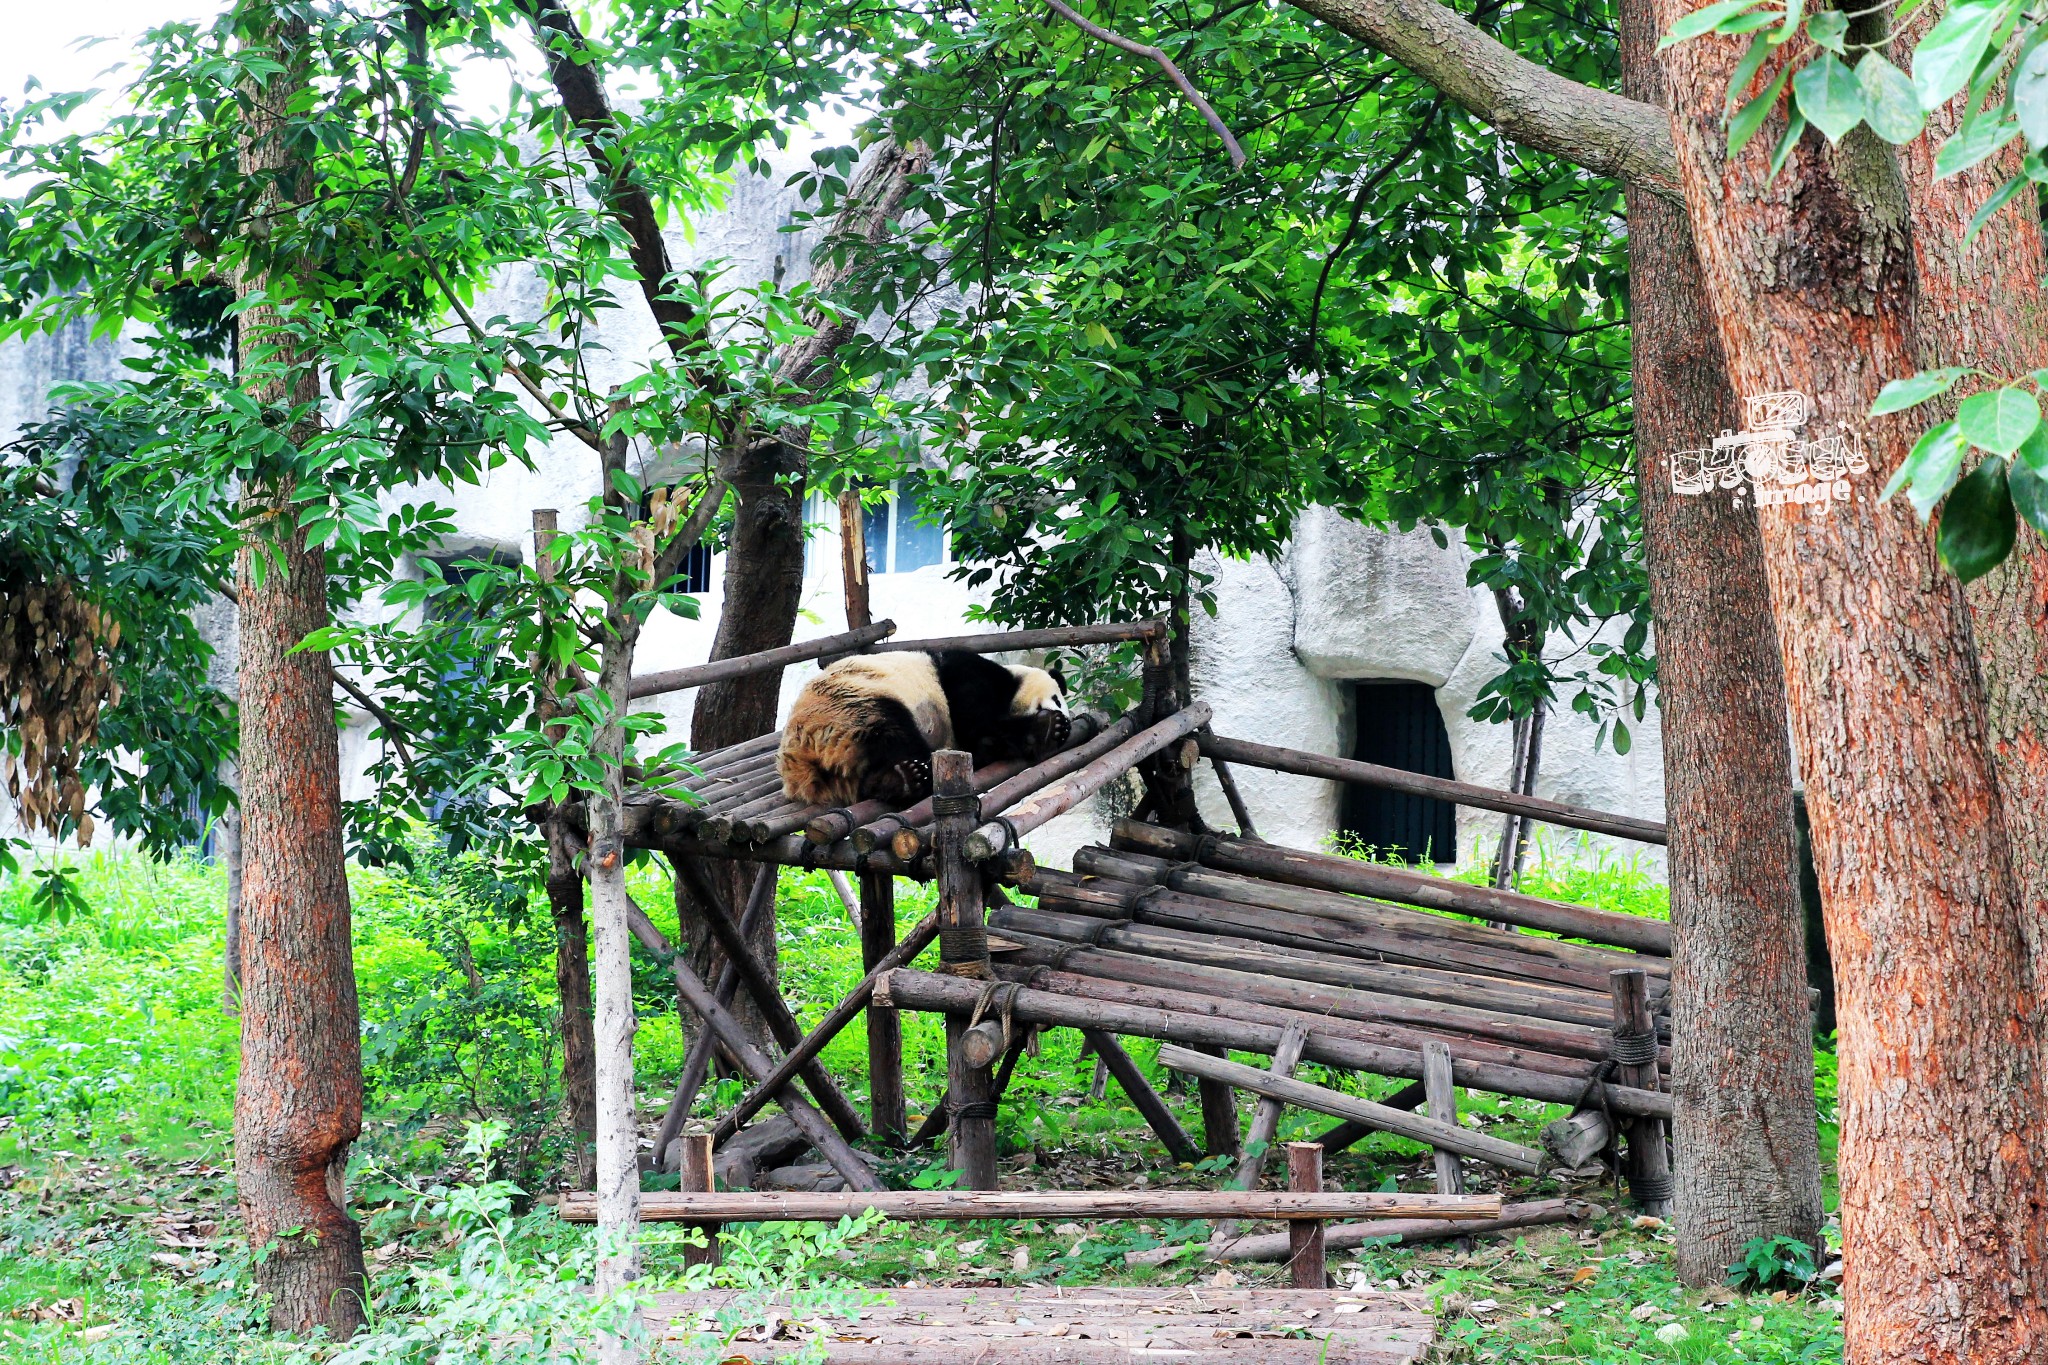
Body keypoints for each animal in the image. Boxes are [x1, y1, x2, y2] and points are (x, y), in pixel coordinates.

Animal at [778, 650, 1071, 806]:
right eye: (1057, 699)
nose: (1059, 712)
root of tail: (798, 760)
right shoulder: (965, 673)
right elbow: (978, 726)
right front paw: (1049, 727)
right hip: (851, 705)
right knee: (891, 731)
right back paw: (910, 776)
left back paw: (895, 781)